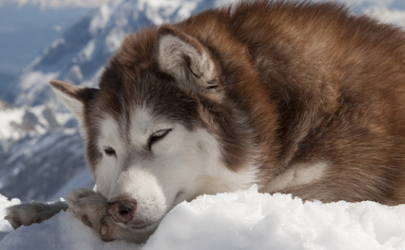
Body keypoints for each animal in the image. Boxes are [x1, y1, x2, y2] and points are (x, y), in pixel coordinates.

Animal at [6, 0, 405, 242]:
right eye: (109, 151)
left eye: (159, 135)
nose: (120, 206)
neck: (276, 110)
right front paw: (38, 209)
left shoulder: (333, 193)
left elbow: (172, 216)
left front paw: (94, 212)